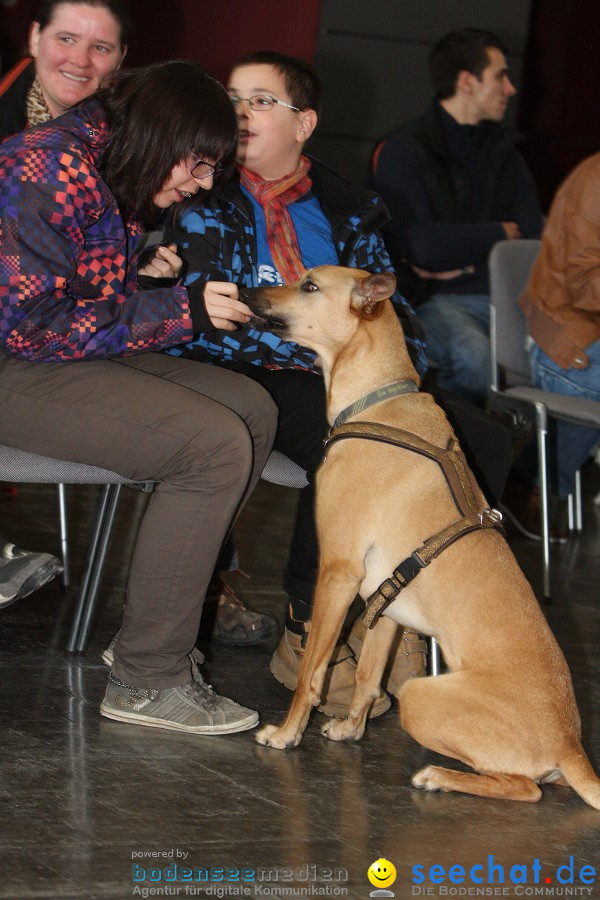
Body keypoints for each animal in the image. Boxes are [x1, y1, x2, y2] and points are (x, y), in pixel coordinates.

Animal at [243, 262, 600, 808]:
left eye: (310, 286)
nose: (245, 292)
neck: (377, 400)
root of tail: (570, 744)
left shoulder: (338, 574)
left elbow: (312, 673)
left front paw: (286, 735)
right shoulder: (383, 598)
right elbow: (367, 676)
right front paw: (351, 729)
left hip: (422, 697)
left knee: (526, 789)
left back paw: (438, 776)